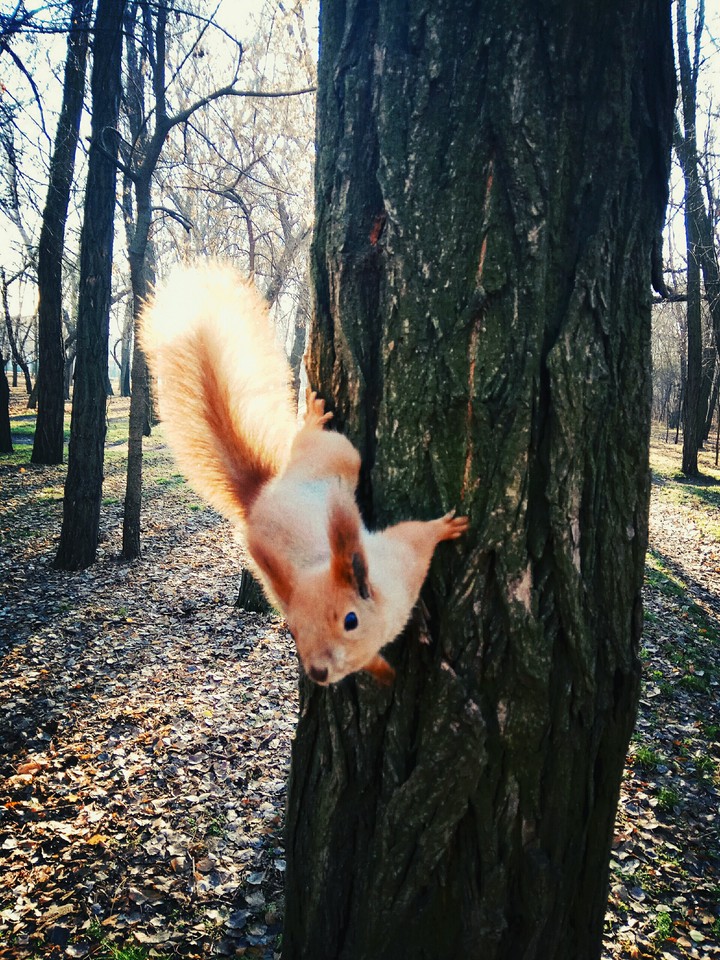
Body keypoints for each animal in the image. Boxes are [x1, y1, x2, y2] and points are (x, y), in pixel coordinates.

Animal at [141, 263, 469, 686]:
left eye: (350, 620)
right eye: (292, 631)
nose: (316, 671)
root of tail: (261, 495)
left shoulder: (401, 568)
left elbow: (416, 536)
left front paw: (446, 527)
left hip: (335, 457)